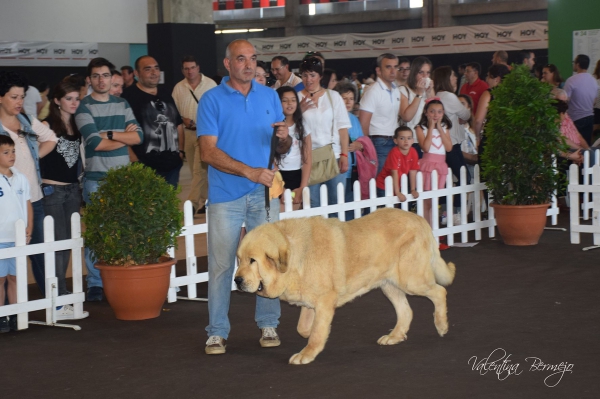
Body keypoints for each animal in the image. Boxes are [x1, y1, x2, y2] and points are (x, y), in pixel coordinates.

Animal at [234, 208, 454, 368]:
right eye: (239, 260)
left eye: (253, 261)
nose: (236, 280)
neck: (295, 255)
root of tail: (420, 219)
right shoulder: (310, 302)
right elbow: (304, 328)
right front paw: (309, 334)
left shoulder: (325, 301)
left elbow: (316, 332)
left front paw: (307, 353)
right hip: (388, 285)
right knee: (406, 311)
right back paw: (394, 336)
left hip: (410, 280)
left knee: (439, 291)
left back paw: (442, 325)